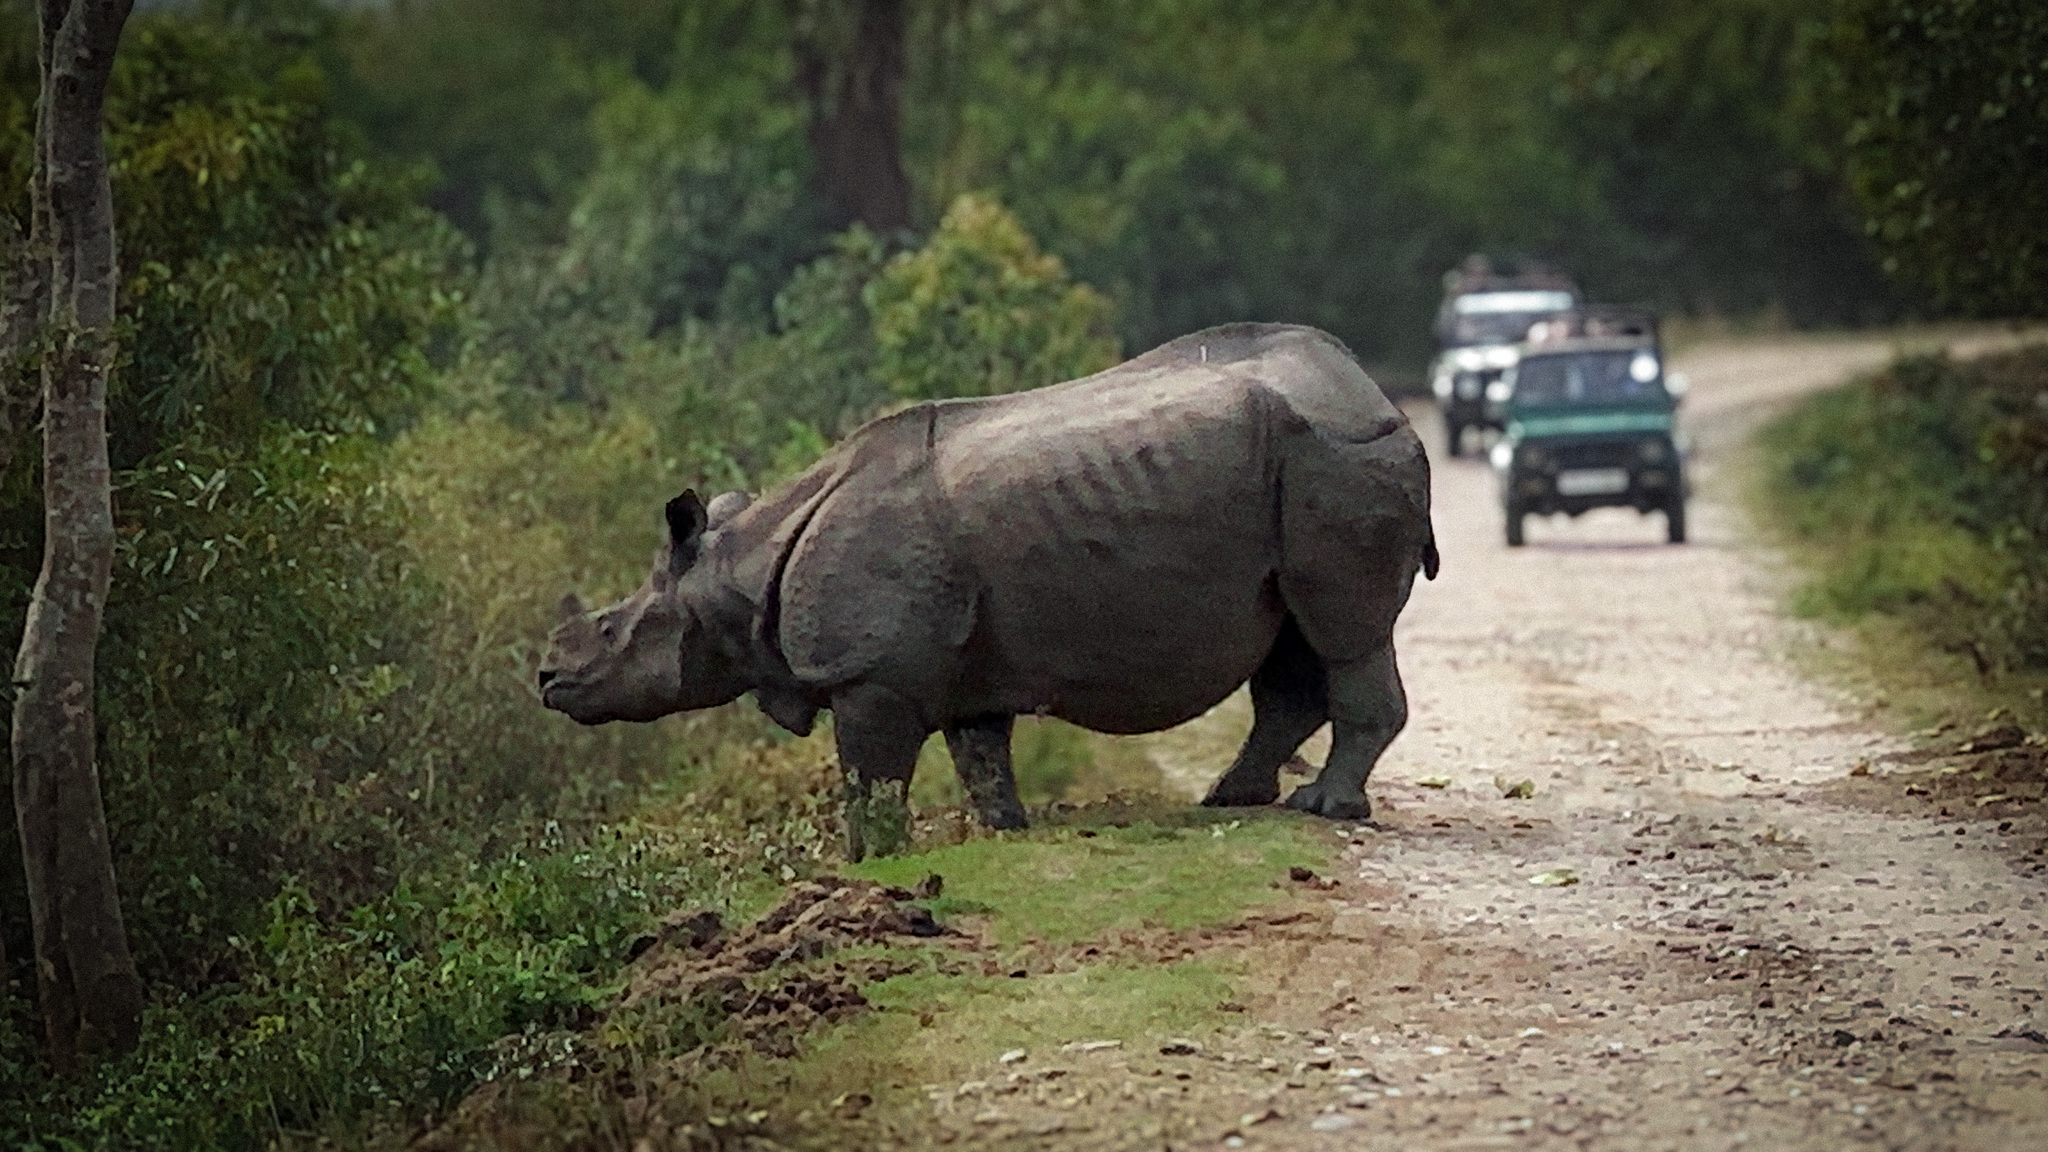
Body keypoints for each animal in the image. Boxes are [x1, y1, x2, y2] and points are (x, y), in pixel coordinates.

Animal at [539, 323, 1438, 856]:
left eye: (613, 629)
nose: (547, 679)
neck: (736, 570)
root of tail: (1377, 394)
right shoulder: (963, 665)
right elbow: (980, 754)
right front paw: (1004, 830)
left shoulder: (873, 674)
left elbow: (870, 775)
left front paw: (871, 859)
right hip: (1301, 470)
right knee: (1294, 641)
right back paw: (1232, 800)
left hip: (1338, 460)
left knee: (1345, 631)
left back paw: (1324, 809)